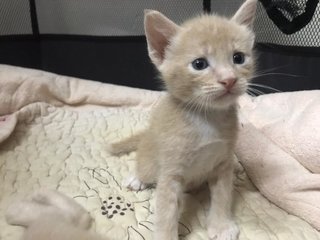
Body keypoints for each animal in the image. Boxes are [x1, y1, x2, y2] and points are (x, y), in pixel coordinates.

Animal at [110, 0, 258, 240]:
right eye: (199, 64)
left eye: (238, 58)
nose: (229, 80)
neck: (207, 118)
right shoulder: (171, 173)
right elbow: (166, 210)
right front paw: (166, 234)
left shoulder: (222, 162)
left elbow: (223, 195)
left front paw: (221, 226)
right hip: (151, 160)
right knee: (145, 167)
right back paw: (137, 178)